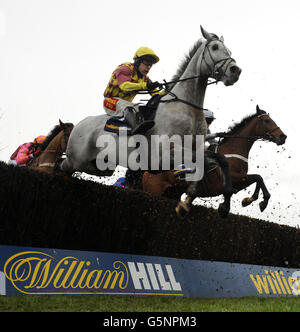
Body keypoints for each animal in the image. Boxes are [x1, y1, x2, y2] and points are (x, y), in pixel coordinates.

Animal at [142, 106, 288, 218]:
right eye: (267, 120)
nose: (283, 137)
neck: (232, 152)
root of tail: (146, 173)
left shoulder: (239, 181)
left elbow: (258, 178)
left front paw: (250, 200)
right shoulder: (231, 178)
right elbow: (257, 178)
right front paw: (229, 206)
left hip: (172, 193)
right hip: (154, 190)